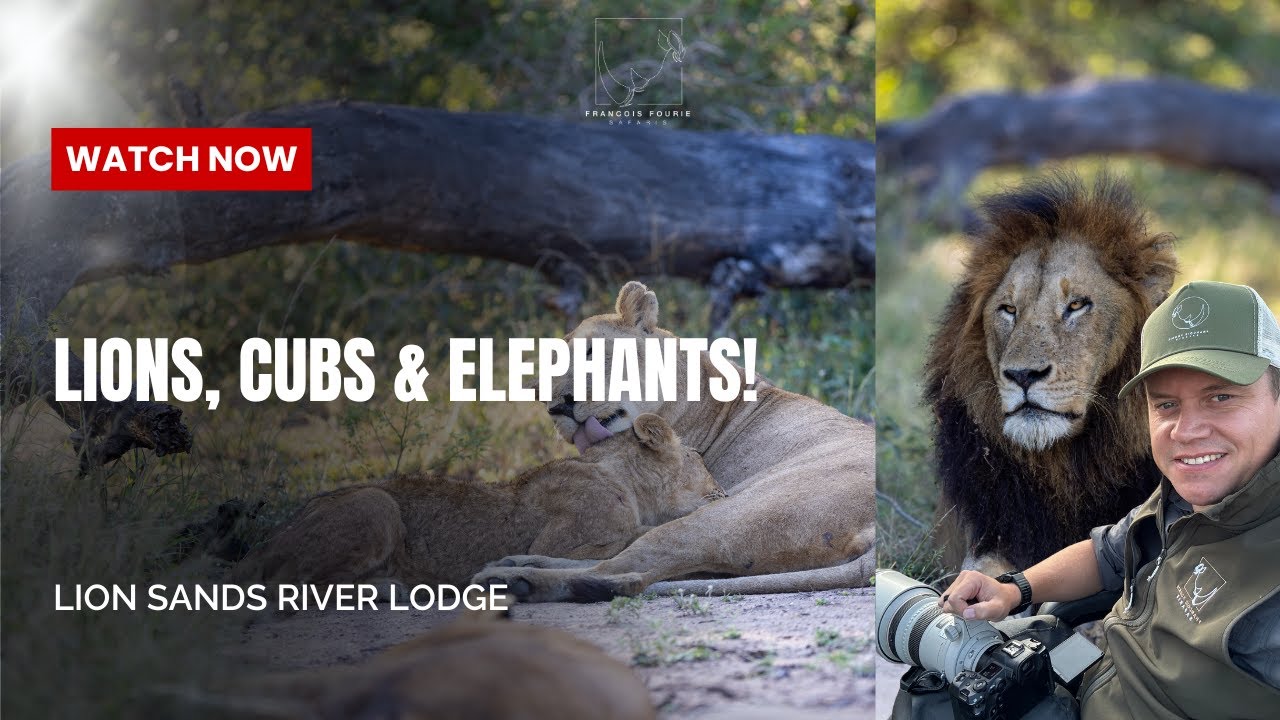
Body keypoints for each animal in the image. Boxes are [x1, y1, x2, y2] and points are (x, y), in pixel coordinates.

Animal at [231, 413, 723, 587]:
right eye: (698, 458)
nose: (722, 488)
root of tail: (267, 542)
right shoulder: (560, 543)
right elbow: (636, 535)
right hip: (375, 502)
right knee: (289, 586)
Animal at [472, 281, 876, 602]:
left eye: (591, 353)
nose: (556, 405)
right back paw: (517, 563)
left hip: (726, 515)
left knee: (625, 568)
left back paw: (513, 579)